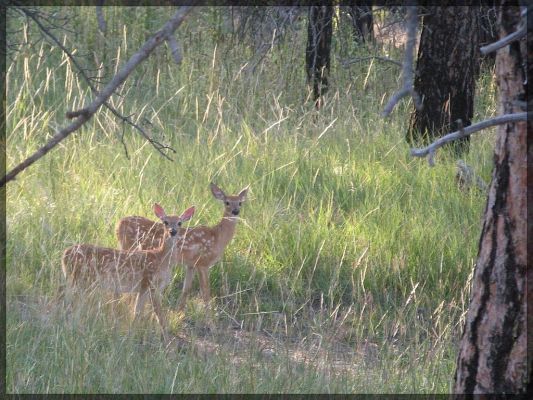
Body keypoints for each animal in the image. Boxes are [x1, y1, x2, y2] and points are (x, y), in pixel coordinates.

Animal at [61, 205, 195, 340]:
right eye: (165, 222)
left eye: (179, 223)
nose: (173, 231)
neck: (161, 259)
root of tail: (64, 256)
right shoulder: (148, 283)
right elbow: (154, 313)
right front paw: (165, 339)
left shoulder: (148, 288)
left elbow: (141, 312)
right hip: (84, 280)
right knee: (70, 304)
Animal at [115, 184, 248, 312]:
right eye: (227, 202)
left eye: (240, 203)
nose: (235, 211)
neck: (218, 237)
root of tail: (118, 224)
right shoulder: (203, 262)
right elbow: (205, 293)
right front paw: (210, 318)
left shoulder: (191, 264)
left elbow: (186, 289)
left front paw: (179, 313)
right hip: (129, 248)